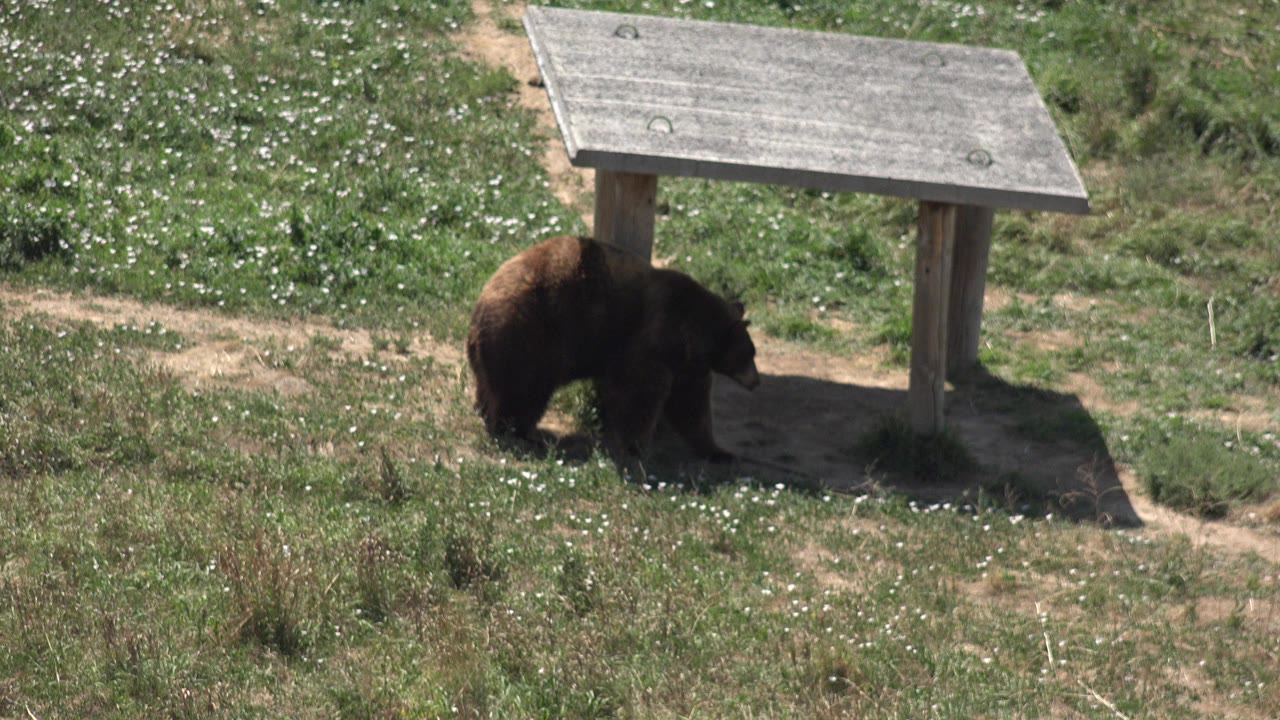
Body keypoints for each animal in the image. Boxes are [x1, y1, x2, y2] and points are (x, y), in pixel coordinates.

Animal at [466, 235, 759, 462]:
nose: (756, 381)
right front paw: (636, 447)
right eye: (750, 354)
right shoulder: (655, 336)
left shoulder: (687, 363)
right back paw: (517, 430)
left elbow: (691, 404)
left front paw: (719, 452)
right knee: (524, 390)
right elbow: (641, 391)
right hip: (531, 335)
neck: (695, 331)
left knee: (496, 386)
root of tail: (478, 313)